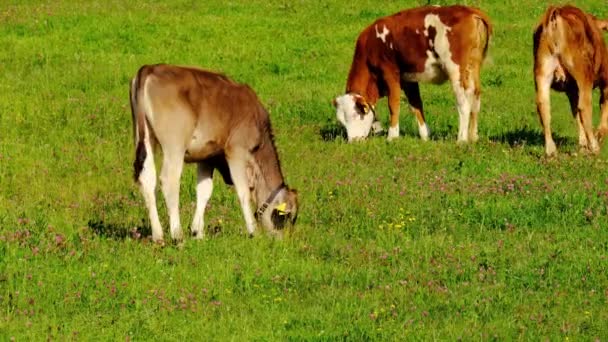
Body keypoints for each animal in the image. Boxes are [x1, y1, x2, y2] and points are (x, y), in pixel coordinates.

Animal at [131, 64, 300, 242]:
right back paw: (177, 235)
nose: (283, 241)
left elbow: (204, 190)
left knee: (147, 178)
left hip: (144, 137)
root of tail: (151, 68)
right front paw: (253, 231)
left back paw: (158, 235)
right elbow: (243, 192)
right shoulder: (236, 152)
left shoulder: (207, 157)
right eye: (285, 216)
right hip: (174, 146)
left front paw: (198, 232)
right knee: (169, 180)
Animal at [332, 4, 494, 143]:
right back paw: (473, 137)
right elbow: (416, 104)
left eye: (356, 114)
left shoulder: (390, 73)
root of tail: (469, 10)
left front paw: (392, 136)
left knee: (463, 103)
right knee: (475, 96)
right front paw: (425, 135)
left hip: (456, 70)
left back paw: (461, 139)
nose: (354, 141)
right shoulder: (408, 78)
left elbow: (393, 104)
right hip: (473, 68)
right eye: (342, 121)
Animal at [532, 5, 608, 156]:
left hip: (542, 73)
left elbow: (575, 113)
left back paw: (551, 150)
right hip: (583, 74)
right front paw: (599, 134)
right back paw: (594, 146)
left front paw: (583, 144)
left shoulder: (571, 90)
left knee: (543, 106)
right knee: (584, 106)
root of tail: (557, 14)